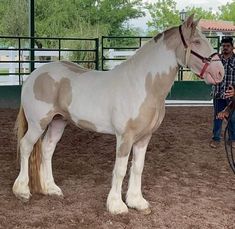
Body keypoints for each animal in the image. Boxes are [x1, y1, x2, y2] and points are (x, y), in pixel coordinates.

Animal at [12, 15, 224, 214]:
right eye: (196, 41)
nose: (220, 72)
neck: (142, 85)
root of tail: (32, 76)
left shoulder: (144, 137)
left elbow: (137, 168)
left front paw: (137, 202)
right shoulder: (125, 137)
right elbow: (121, 169)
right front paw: (116, 205)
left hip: (58, 121)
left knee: (47, 149)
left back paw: (51, 189)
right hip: (38, 123)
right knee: (26, 146)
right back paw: (22, 191)